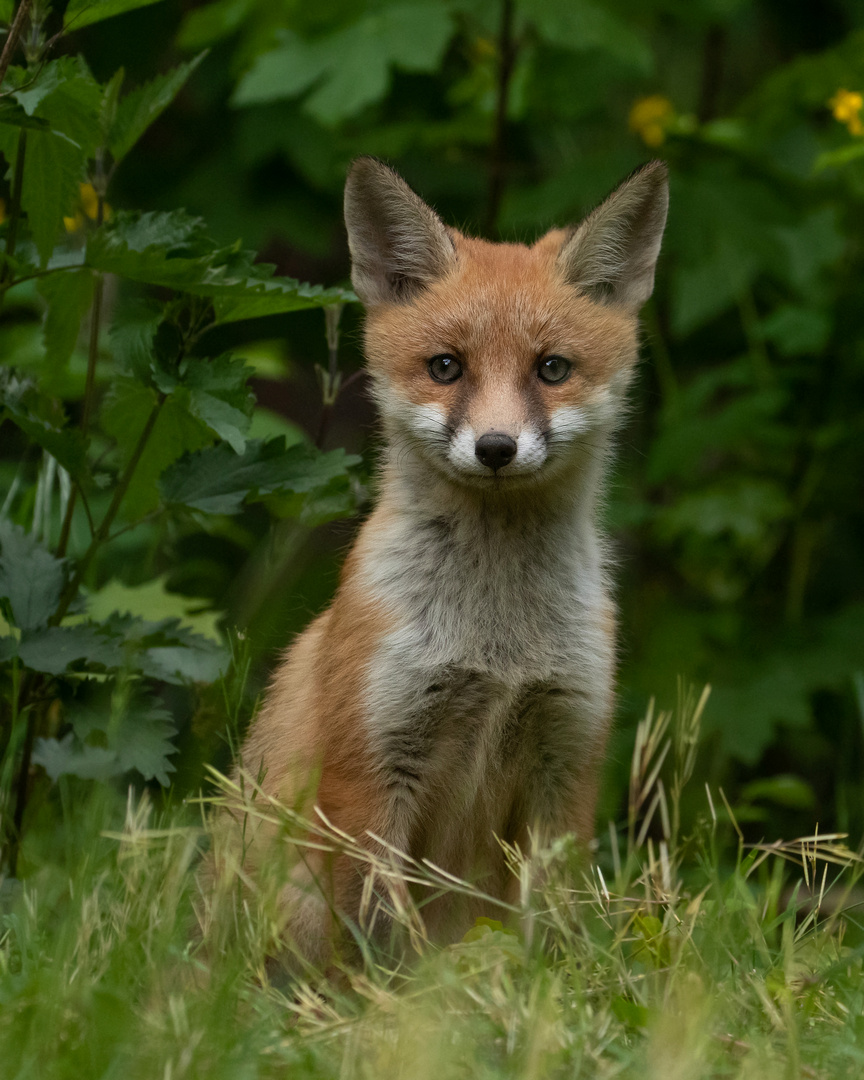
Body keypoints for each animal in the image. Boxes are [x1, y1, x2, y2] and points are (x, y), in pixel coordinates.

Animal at [216, 154, 669, 972]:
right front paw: (375, 1006)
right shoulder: (371, 767)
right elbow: (372, 937)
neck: (497, 646)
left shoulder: (567, 762)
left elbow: (552, 934)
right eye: (447, 367)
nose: (495, 447)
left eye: (552, 369)